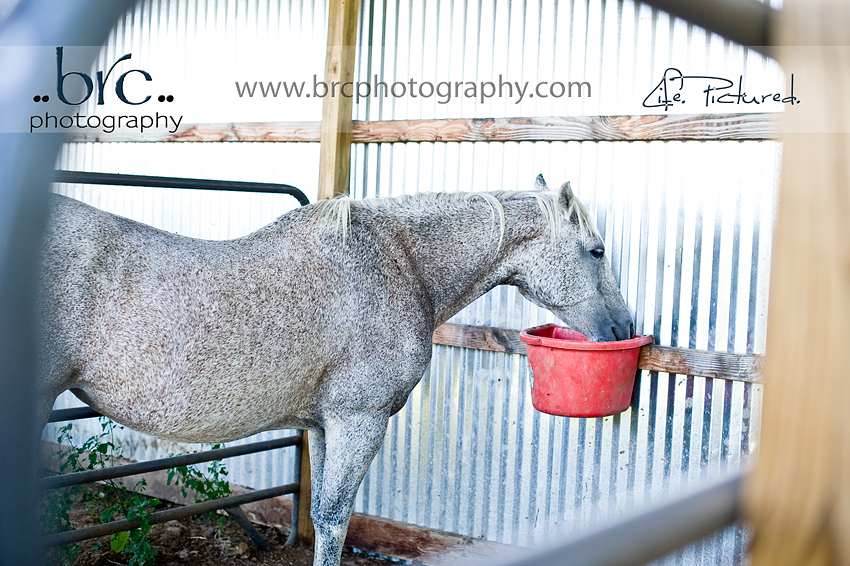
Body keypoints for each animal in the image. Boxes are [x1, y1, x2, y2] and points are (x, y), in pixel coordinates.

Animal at [37, 175, 634, 566]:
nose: (624, 327)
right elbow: (333, 520)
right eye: (597, 250)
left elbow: (325, 513)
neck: (400, 264)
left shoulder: (324, 427)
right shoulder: (358, 421)